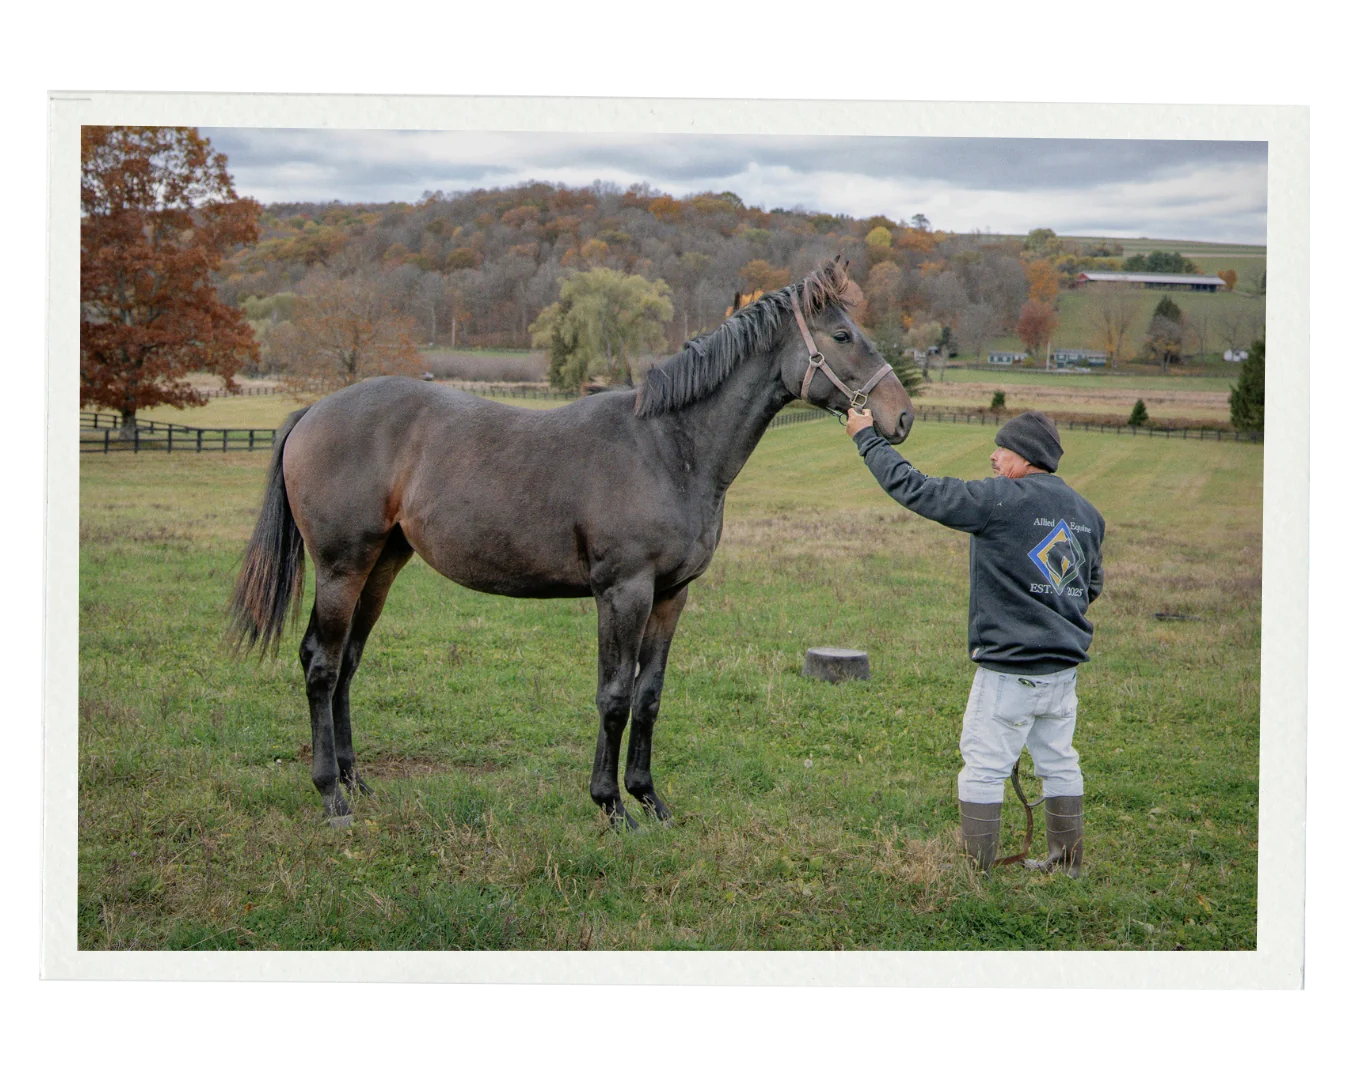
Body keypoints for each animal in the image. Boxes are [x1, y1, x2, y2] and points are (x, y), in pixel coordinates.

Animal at [228, 259, 914, 829]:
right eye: (843, 336)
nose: (900, 416)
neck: (670, 447)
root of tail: (314, 411)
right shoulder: (623, 592)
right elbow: (614, 697)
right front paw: (611, 807)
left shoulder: (671, 597)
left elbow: (649, 696)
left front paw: (650, 799)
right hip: (341, 568)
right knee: (321, 664)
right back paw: (331, 796)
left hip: (382, 566)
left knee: (345, 663)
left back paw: (355, 781)